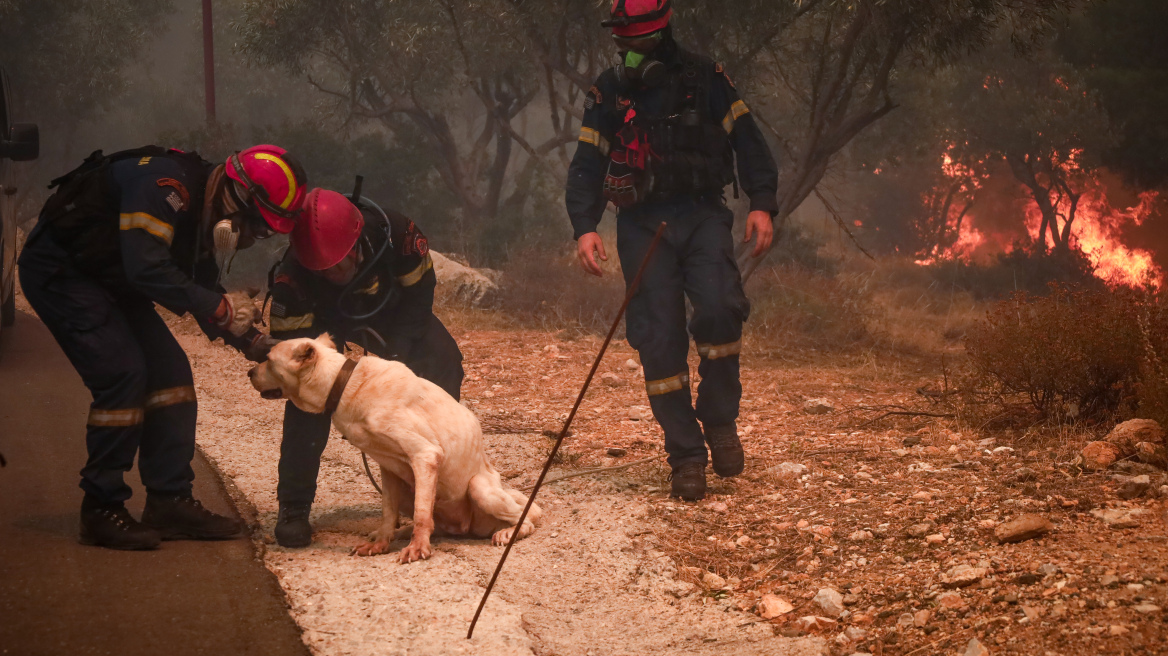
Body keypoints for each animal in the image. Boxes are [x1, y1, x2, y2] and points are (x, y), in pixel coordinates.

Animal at [248, 333, 539, 560]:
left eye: (269, 360)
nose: (249, 372)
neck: (344, 384)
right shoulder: (388, 469)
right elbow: (389, 513)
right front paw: (381, 543)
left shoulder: (425, 455)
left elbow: (422, 516)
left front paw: (418, 548)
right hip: (409, 490)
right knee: (426, 520)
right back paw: (396, 532)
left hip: (479, 489)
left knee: (526, 520)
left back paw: (506, 532)